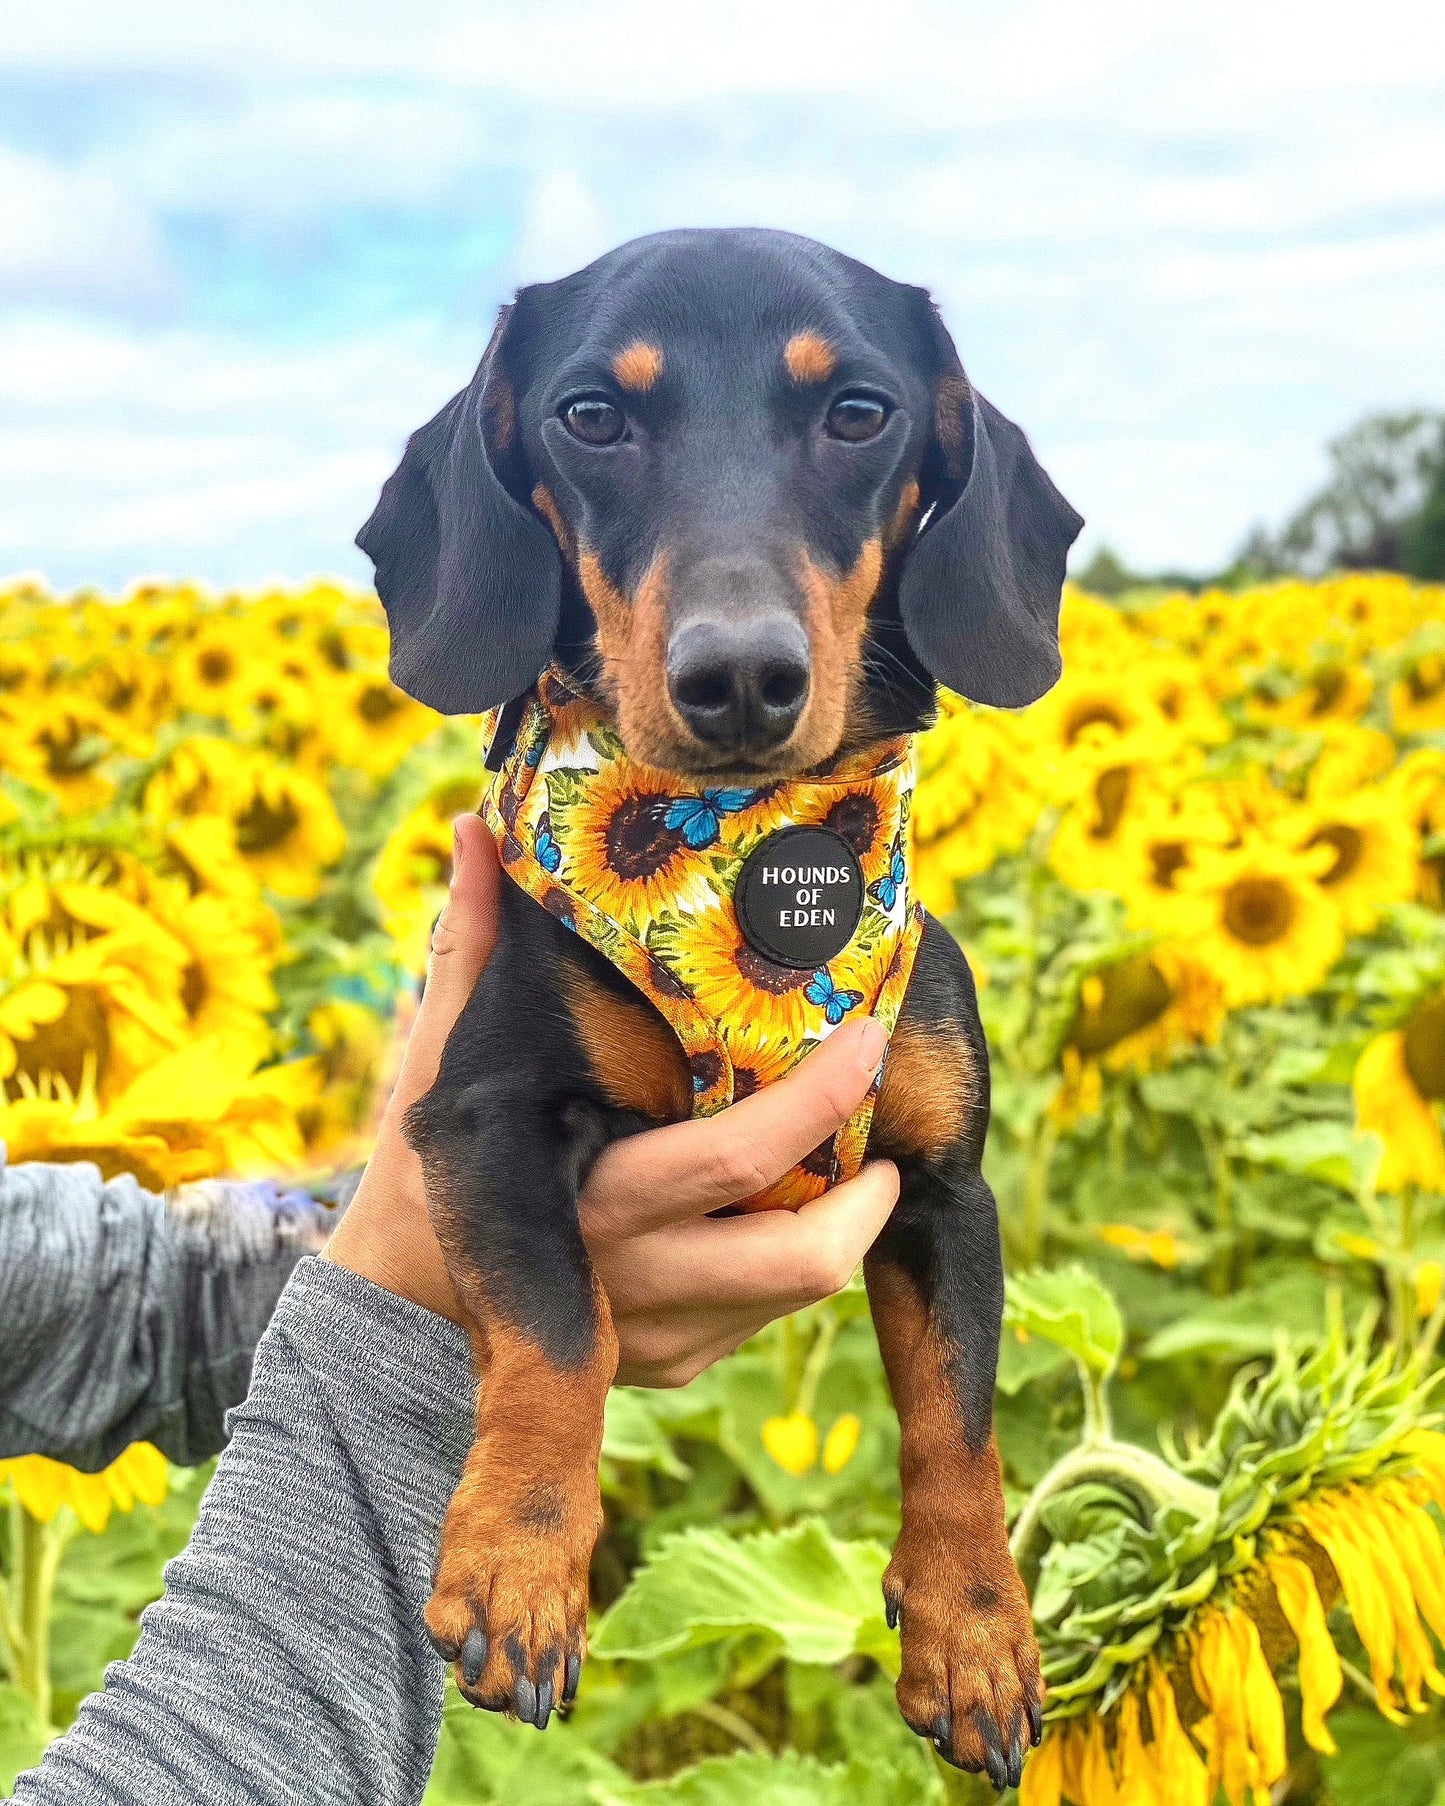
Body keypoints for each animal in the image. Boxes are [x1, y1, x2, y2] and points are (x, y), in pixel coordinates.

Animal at [357, 229, 1083, 1791]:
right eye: (590, 416)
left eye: (859, 413)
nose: (739, 676)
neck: (749, 853)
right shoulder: (482, 1120)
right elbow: (562, 1329)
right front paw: (520, 1564)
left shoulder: (946, 1189)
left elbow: (960, 1418)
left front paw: (974, 1630)